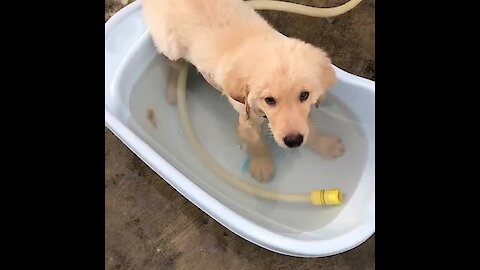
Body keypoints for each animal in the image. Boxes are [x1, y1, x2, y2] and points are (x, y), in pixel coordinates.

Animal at [142, 0, 344, 182]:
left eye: (304, 95)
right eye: (269, 100)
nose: (293, 141)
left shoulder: (302, 117)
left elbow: (309, 127)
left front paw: (326, 144)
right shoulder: (246, 119)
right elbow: (256, 142)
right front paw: (262, 165)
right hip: (170, 44)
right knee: (174, 63)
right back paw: (172, 90)